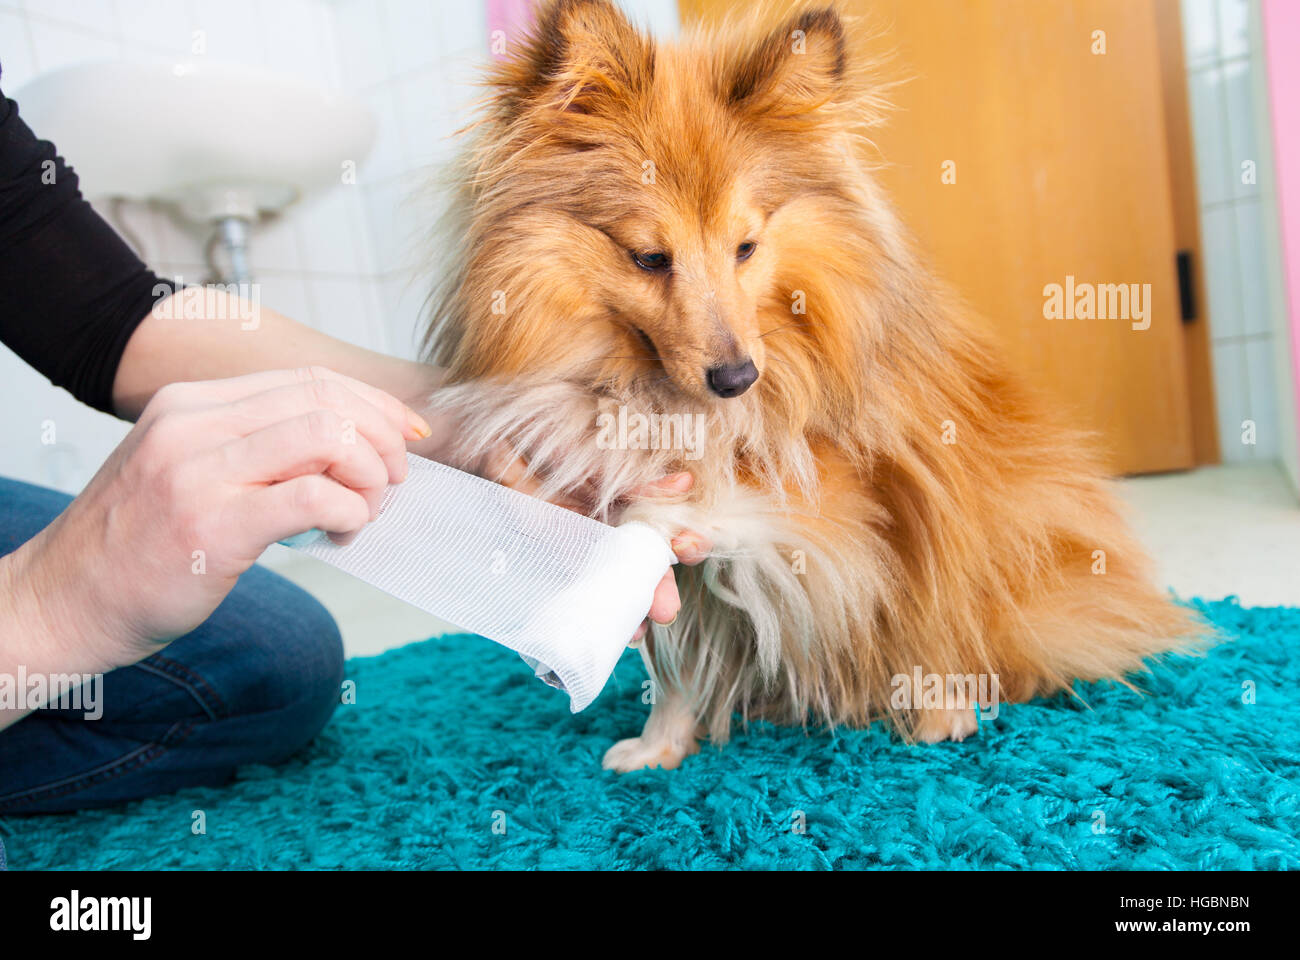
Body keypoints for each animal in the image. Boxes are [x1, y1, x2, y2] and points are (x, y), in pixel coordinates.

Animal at [421, 0, 1201, 764]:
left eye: (746, 246)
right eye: (649, 257)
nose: (737, 377)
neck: (657, 394)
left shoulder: (848, 500)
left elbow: (689, 504)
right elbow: (674, 662)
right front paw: (659, 745)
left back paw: (942, 708)